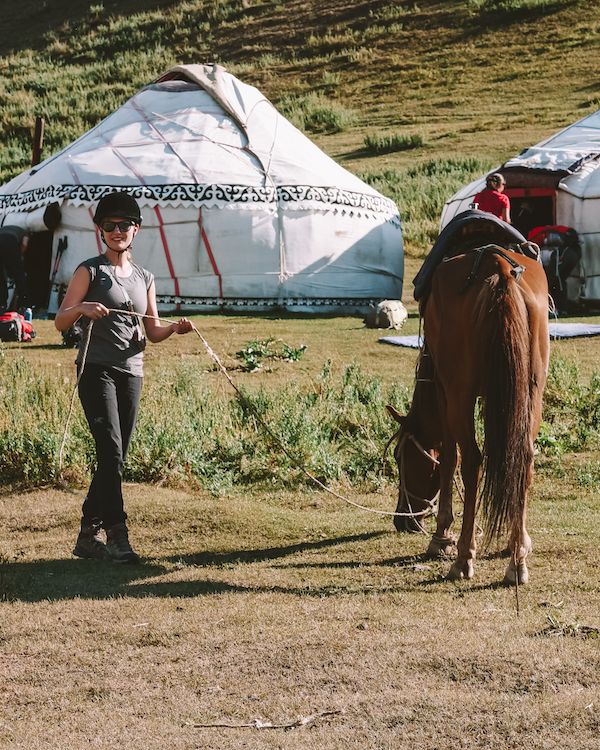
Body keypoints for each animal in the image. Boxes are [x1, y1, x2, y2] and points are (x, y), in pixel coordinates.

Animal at [390, 248, 548, 588]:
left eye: (400, 456)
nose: (402, 520)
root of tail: (499, 270)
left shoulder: (443, 391)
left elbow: (449, 458)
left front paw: (441, 537)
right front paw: (520, 542)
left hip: (459, 393)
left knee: (472, 460)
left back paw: (463, 558)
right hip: (532, 390)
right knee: (524, 458)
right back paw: (517, 562)